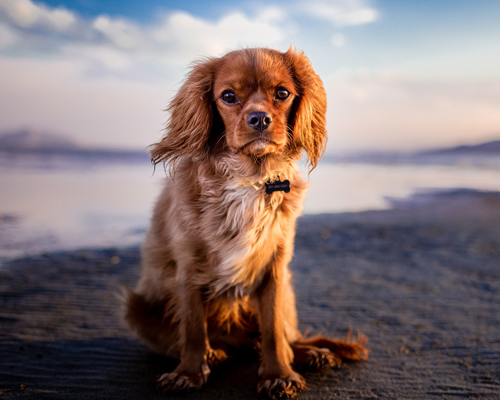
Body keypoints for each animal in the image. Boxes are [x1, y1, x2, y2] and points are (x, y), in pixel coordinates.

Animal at [125, 48, 368, 398]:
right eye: (228, 96)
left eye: (282, 93)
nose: (259, 118)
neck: (250, 179)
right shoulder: (188, 268)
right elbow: (193, 328)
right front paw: (189, 372)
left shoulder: (275, 266)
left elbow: (273, 330)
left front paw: (279, 374)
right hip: (137, 309)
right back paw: (214, 352)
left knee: (285, 337)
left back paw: (311, 353)